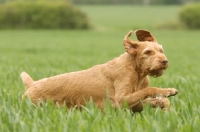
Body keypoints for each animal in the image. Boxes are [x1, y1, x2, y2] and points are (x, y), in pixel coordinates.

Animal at [21, 29, 178, 111]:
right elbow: (149, 90)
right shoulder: (121, 100)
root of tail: (31, 85)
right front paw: (168, 91)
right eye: (148, 52)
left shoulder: (134, 105)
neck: (136, 70)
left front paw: (165, 106)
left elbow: (158, 100)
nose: (164, 61)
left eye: (161, 50)